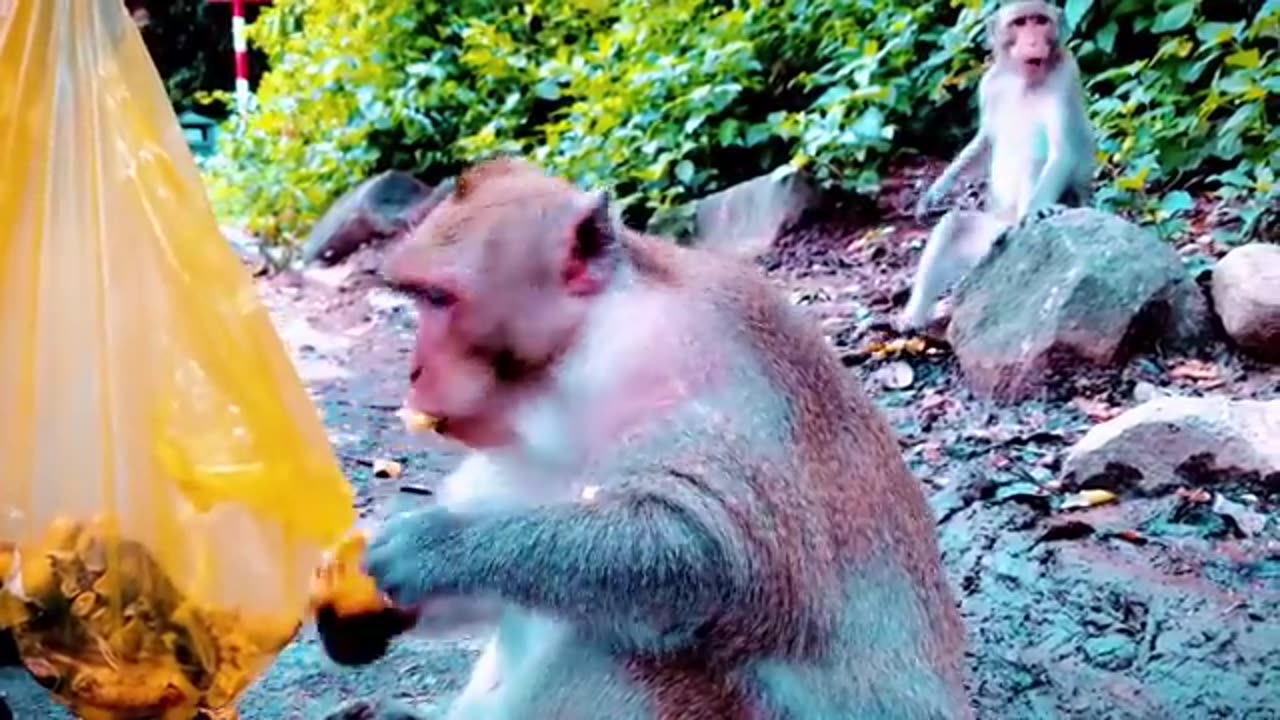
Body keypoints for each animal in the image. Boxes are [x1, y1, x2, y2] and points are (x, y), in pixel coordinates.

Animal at [340, 156, 967, 717]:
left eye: (438, 299)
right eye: (419, 298)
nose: (415, 370)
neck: (590, 346)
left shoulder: (697, 367)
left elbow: (715, 554)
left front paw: (432, 547)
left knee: (630, 638)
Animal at [901, 0, 1100, 330]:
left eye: (1040, 21)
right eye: (1020, 23)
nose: (1032, 41)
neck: (1025, 79)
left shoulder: (1066, 74)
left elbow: (1063, 151)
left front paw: (1040, 209)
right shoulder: (989, 83)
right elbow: (986, 141)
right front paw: (936, 190)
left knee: (1037, 157)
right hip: (987, 238)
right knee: (953, 228)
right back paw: (913, 319)